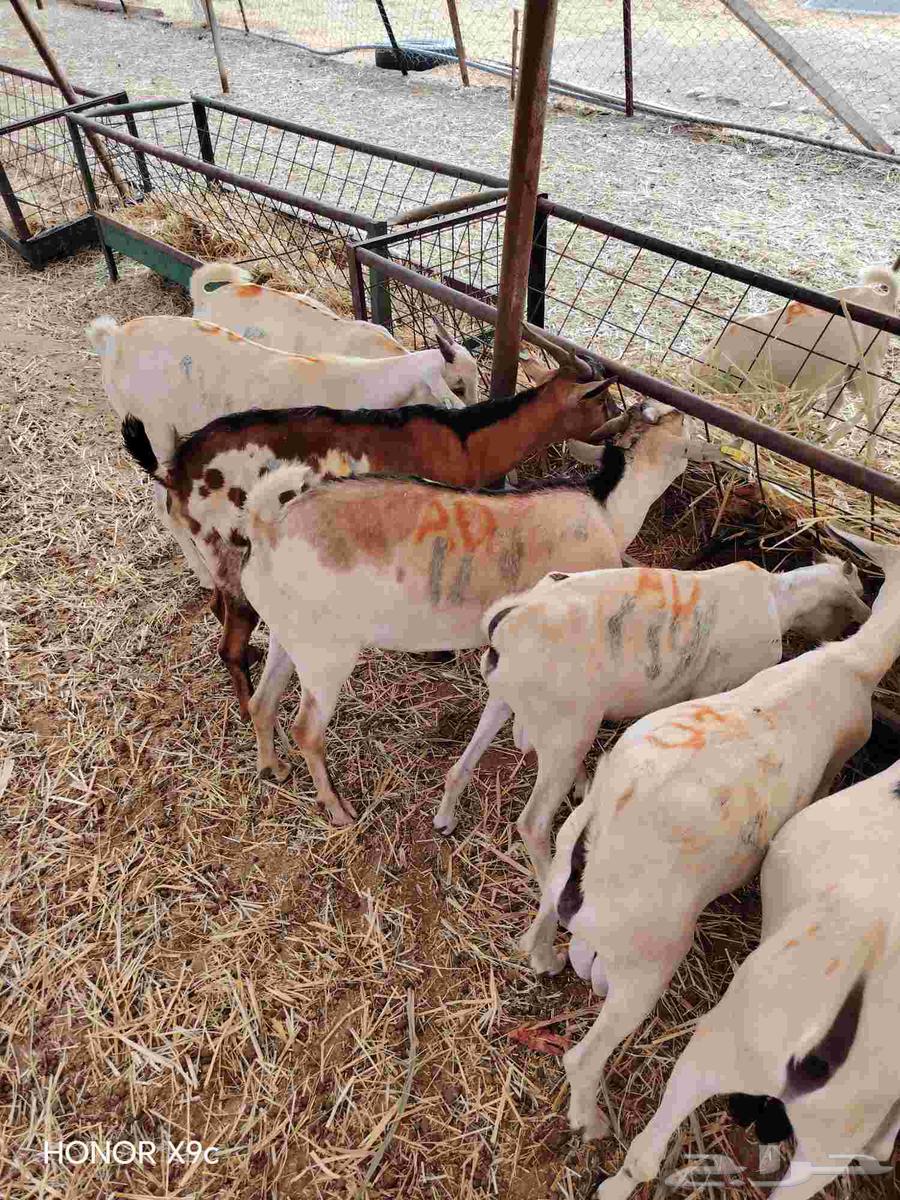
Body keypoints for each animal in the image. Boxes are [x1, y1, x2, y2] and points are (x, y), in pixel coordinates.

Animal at [121, 353, 615, 716]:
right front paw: (435, 653)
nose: (615, 431)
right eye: (603, 402)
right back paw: (251, 714)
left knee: (217, 606)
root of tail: (177, 471)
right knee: (229, 643)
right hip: (228, 543)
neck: (463, 442)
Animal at [235, 404, 722, 825]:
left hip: (289, 634)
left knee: (262, 701)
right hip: (327, 654)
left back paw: (271, 767)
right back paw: (337, 809)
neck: (605, 508)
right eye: (679, 437)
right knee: (306, 729)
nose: (679, 414)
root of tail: (268, 529)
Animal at [435, 555, 870, 879]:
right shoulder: (719, 685)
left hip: (505, 698)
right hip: (567, 731)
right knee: (533, 823)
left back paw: (445, 819)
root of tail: (507, 619)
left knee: (462, 764)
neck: (780, 599)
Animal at [519, 530, 898, 1144]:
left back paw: (545, 959)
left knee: (538, 926)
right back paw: (592, 1121)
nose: (861, 617)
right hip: (647, 962)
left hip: (562, 871)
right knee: (584, 1056)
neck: (849, 661)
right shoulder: (836, 761)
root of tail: (593, 850)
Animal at [703, 265, 898, 461]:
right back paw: (818, 439)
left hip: (868, 366)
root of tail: (883, 300)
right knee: (837, 402)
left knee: (875, 418)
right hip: (836, 369)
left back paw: (866, 460)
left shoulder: (752, 385)